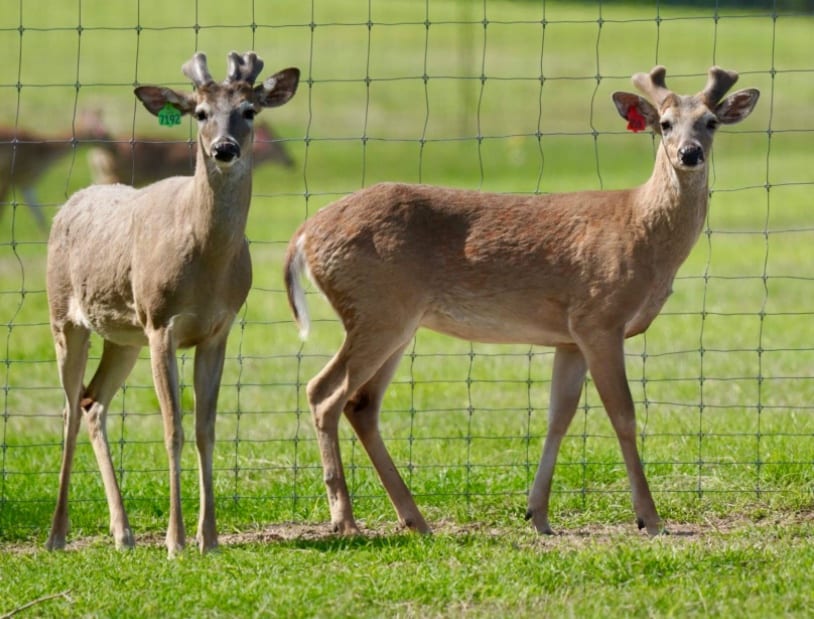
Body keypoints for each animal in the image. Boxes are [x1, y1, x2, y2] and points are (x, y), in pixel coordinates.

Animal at [283, 66, 759, 537]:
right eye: (664, 124)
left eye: (710, 122)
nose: (689, 154)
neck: (640, 227)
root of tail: (303, 235)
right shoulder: (600, 317)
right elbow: (622, 414)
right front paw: (650, 517)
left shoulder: (569, 337)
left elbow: (559, 416)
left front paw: (539, 515)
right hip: (377, 310)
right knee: (323, 392)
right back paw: (346, 522)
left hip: (395, 321)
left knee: (361, 404)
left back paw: (415, 519)